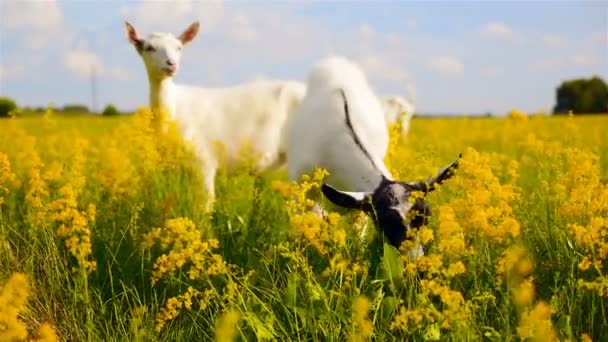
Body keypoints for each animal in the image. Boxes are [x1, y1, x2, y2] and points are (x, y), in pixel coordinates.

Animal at [126, 21, 308, 210]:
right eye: (149, 47)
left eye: (179, 47)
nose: (171, 64)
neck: (174, 108)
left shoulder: (204, 160)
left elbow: (207, 203)